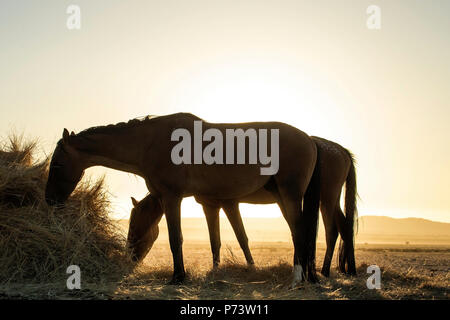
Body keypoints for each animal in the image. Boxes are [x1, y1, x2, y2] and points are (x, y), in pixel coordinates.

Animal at [45, 113, 320, 284]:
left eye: (57, 164)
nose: (49, 200)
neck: (150, 143)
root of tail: (310, 139)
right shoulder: (207, 203)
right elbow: (215, 240)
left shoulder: (172, 198)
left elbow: (176, 238)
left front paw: (178, 277)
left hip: (290, 195)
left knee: (299, 232)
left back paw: (298, 277)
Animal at [128, 135, 356, 276]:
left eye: (133, 224)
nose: (130, 256)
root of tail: (340, 150)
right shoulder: (211, 205)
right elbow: (215, 240)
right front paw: (216, 269)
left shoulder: (229, 204)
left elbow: (241, 237)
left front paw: (251, 267)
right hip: (329, 200)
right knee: (344, 227)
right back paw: (345, 270)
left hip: (326, 199)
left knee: (331, 230)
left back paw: (325, 270)